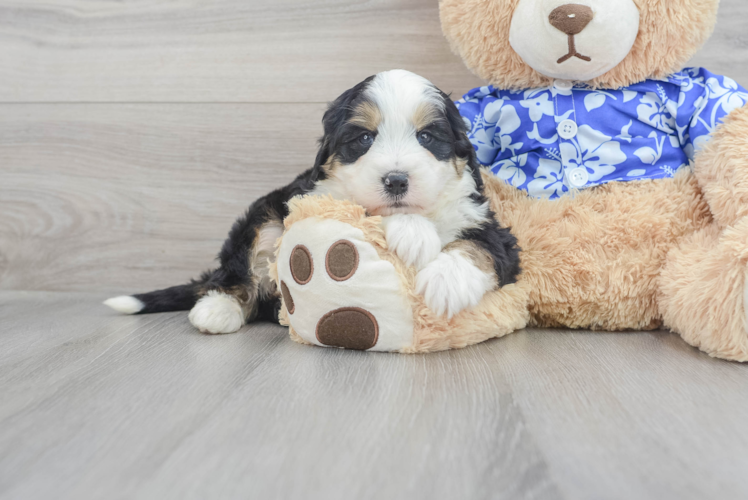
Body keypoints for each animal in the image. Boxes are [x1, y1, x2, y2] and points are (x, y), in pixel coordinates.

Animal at [106, 70, 520, 334]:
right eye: (364, 138)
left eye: (427, 137)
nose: (396, 180)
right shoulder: (314, 198)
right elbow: (360, 210)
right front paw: (414, 234)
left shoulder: (486, 223)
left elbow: (480, 246)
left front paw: (447, 282)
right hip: (264, 220)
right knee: (238, 273)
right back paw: (216, 309)